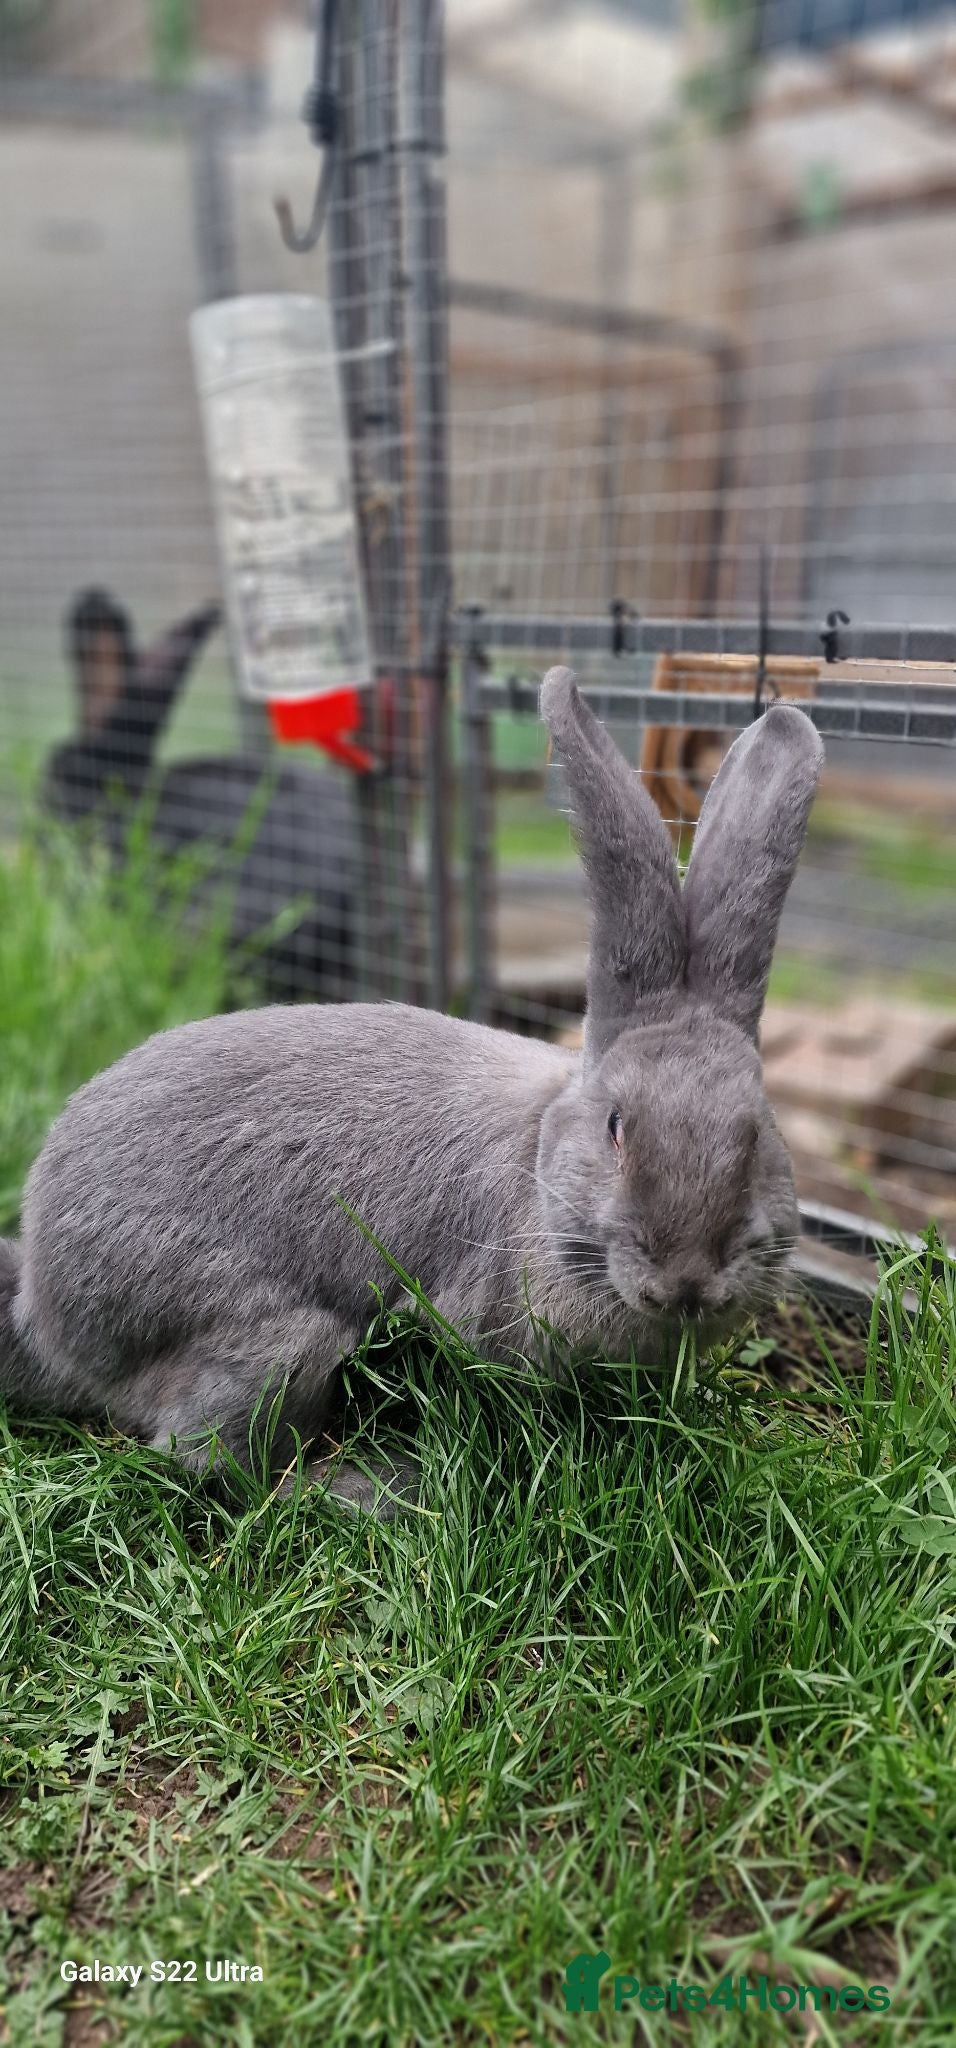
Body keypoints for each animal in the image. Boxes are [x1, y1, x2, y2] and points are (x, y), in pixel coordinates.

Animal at [0, 668, 823, 1510]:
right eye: (616, 1127)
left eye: (759, 1131)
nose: (685, 1286)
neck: (538, 1165)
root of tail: (46, 1315)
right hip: (275, 1342)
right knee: (216, 1460)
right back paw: (369, 1485)